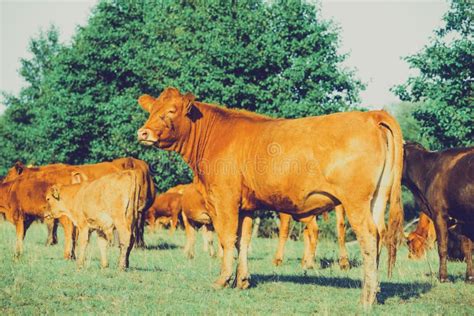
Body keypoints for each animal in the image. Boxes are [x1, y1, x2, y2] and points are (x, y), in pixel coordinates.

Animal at [136, 87, 404, 308]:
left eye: (171, 111)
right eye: (151, 110)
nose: (143, 132)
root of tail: (371, 115)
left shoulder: (224, 199)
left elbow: (226, 238)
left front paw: (223, 279)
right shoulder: (246, 206)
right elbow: (243, 240)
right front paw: (242, 280)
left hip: (356, 202)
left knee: (368, 237)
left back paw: (366, 298)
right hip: (377, 199)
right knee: (379, 235)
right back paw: (375, 292)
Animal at [402, 142, 472, 282]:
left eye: (413, 245)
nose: (412, 259)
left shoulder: (439, 214)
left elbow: (442, 246)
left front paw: (443, 277)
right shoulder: (463, 218)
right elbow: (467, 247)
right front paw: (470, 277)